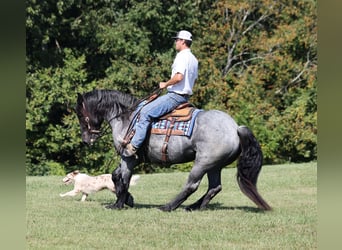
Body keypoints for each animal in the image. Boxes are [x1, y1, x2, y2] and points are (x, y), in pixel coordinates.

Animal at [76, 89, 272, 211]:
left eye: (81, 114)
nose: (86, 140)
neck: (128, 117)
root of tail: (235, 128)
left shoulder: (128, 157)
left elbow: (124, 179)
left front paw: (118, 204)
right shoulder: (132, 159)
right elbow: (116, 176)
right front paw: (128, 200)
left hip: (202, 163)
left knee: (192, 185)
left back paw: (168, 206)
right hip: (215, 165)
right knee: (214, 187)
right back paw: (194, 207)